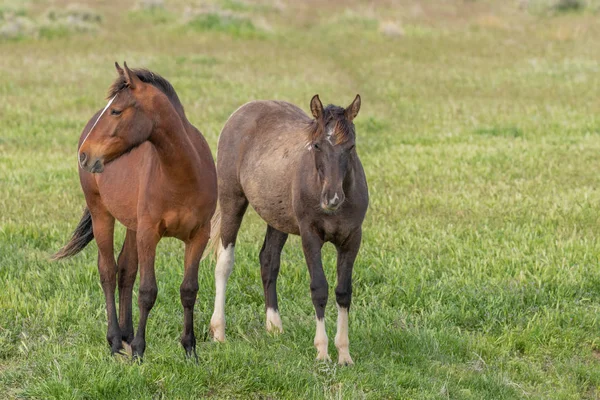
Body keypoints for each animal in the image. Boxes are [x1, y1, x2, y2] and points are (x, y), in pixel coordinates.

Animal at [53, 62, 218, 360]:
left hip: (132, 225)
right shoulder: (149, 234)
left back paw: (126, 335)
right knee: (107, 270)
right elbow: (147, 291)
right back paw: (115, 341)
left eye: (116, 111)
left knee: (125, 270)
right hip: (102, 214)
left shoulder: (199, 235)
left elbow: (189, 290)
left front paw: (190, 349)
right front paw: (141, 350)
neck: (183, 175)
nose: (84, 155)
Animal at [209, 95, 368, 364]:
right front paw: (322, 352)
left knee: (268, 260)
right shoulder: (310, 236)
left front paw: (344, 354)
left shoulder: (351, 238)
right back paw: (219, 332)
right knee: (224, 262)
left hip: (277, 219)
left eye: (351, 146)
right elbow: (319, 288)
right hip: (232, 200)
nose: (332, 199)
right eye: (316, 146)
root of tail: (244, 109)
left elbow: (343, 292)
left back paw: (274, 326)